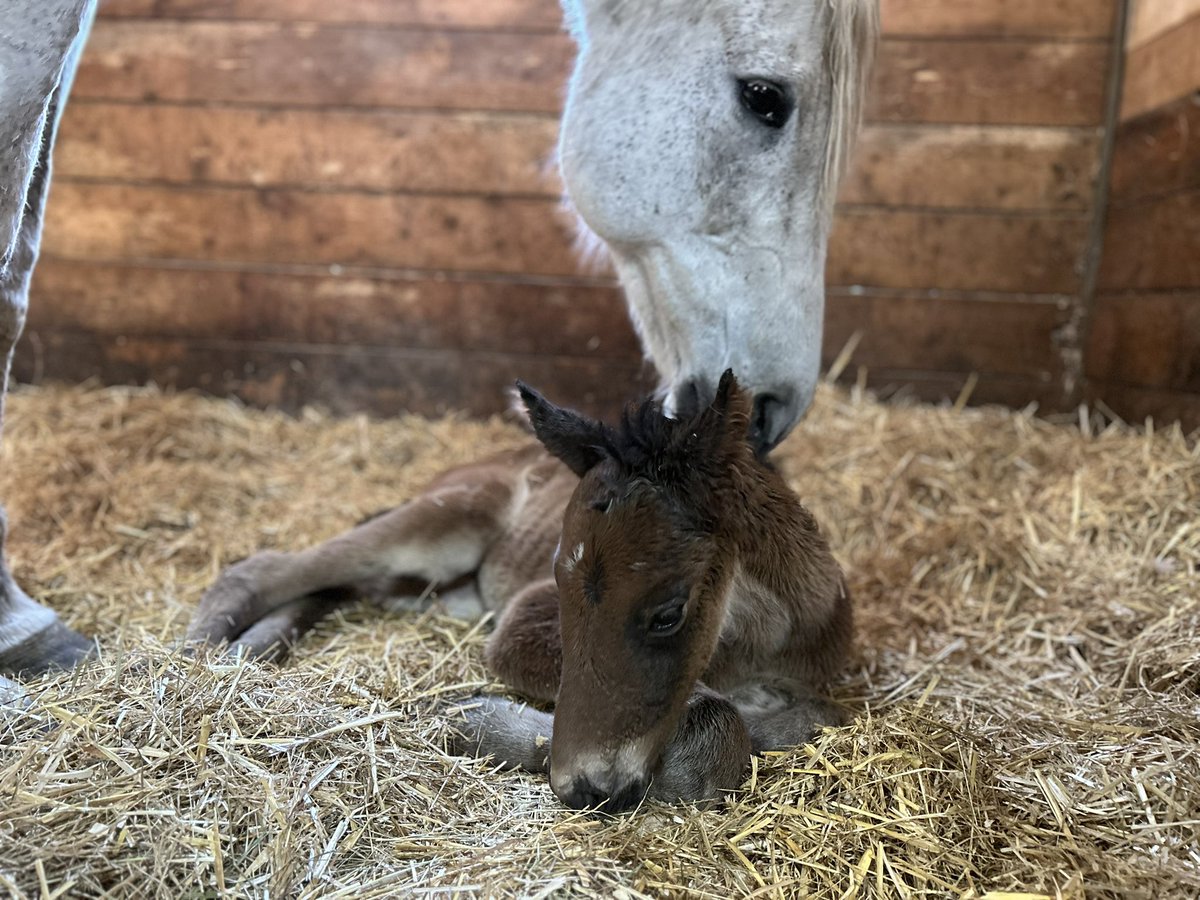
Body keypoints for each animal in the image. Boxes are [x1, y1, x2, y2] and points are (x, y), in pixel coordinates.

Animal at [187, 371, 852, 811]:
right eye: (557, 578)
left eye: (668, 614)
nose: (582, 786)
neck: (753, 646)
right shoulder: (524, 620)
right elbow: (713, 723)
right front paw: (476, 720)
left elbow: (810, 718)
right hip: (443, 524)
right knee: (268, 567)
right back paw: (203, 657)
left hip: (430, 587)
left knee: (343, 586)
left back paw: (251, 650)